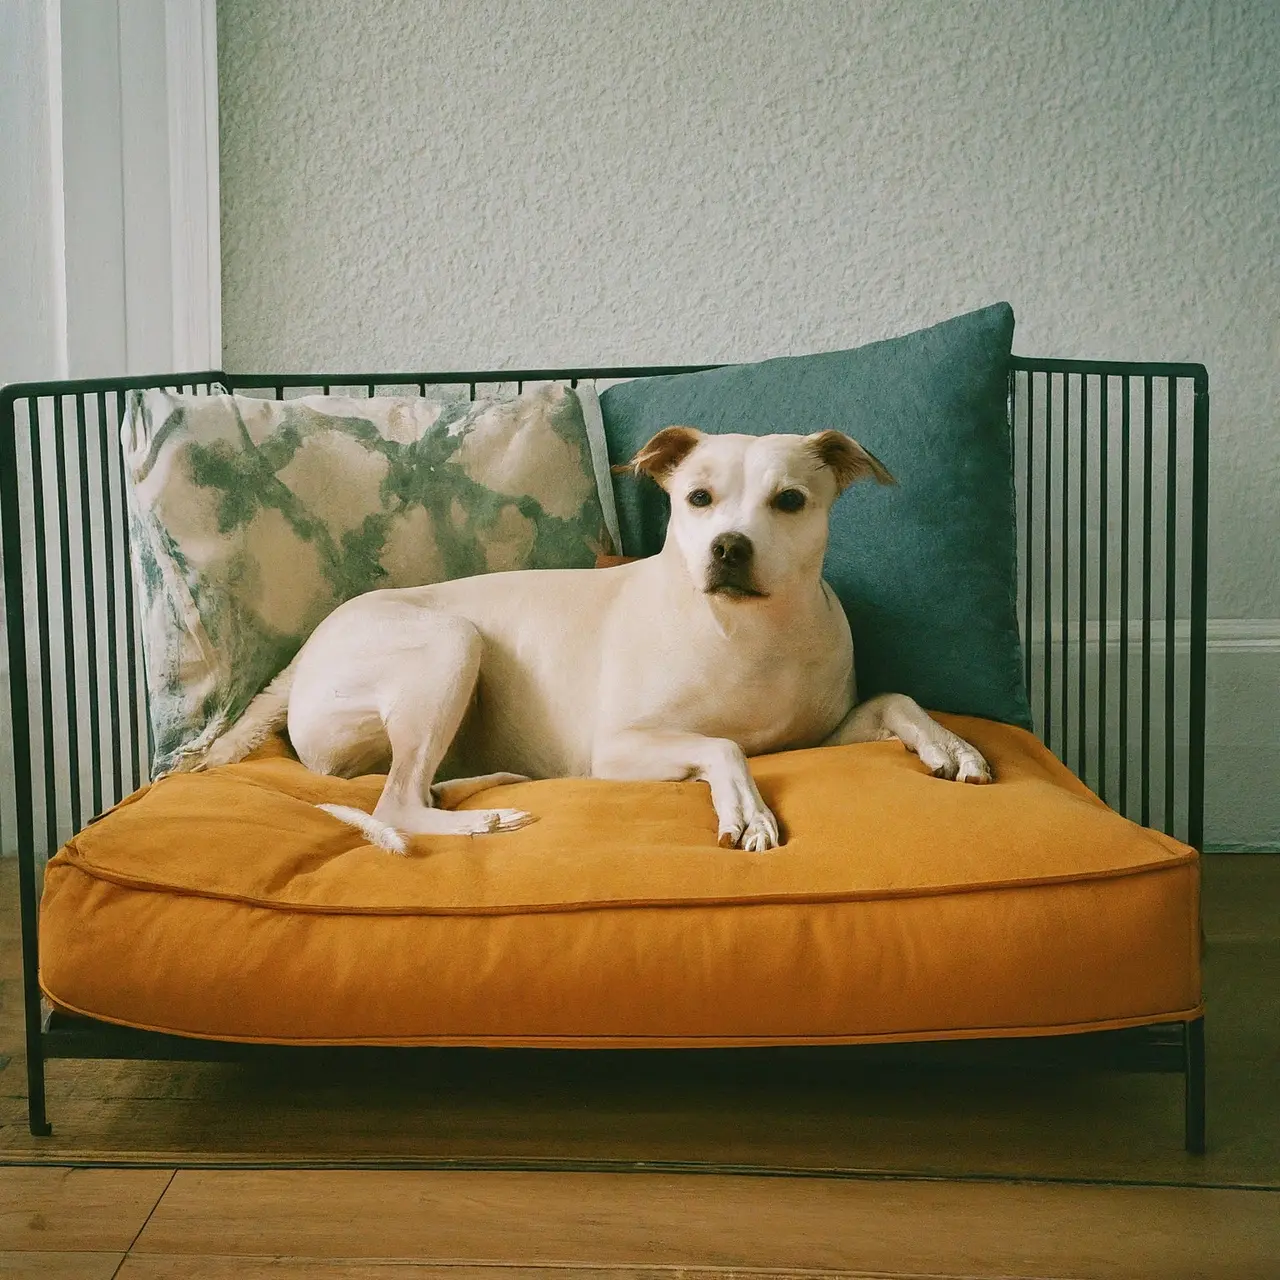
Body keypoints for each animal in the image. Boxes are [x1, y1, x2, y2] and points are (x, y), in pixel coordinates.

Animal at [204, 424, 993, 855]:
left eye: (790, 500)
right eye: (698, 498)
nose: (730, 547)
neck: (747, 632)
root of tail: (305, 651)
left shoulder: (821, 737)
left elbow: (896, 699)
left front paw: (949, 744)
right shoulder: (619, 748)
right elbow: (723, 745)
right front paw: (746, 808)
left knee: (414, 787)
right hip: (452, 640)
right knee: (394, 803)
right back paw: (487, 819)